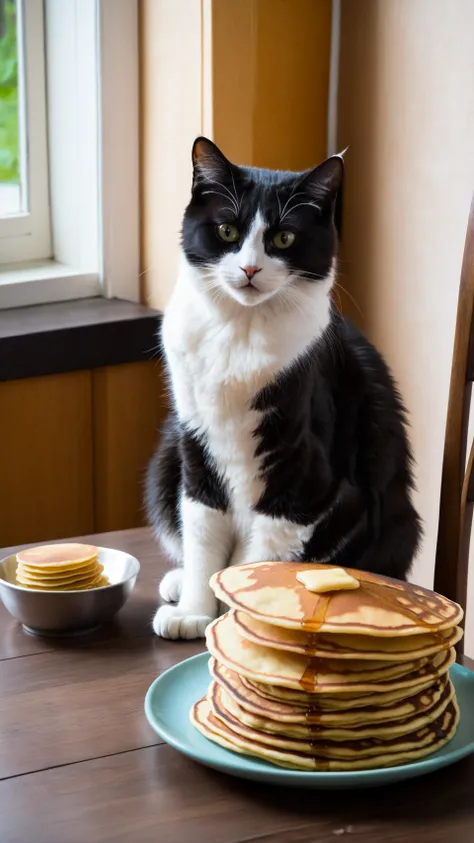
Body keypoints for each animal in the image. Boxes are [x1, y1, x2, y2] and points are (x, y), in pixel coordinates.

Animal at [145, 138, 422, 640]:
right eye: (227, 230)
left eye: (284, 239)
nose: (251, 268)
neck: (240, 330)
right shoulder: (195, 443)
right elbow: (201, 526)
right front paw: (194, 611)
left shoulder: (302, 470)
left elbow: (263, 555)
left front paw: (241, 624)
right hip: (165, 462)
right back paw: (179, 583)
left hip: (392, 521)